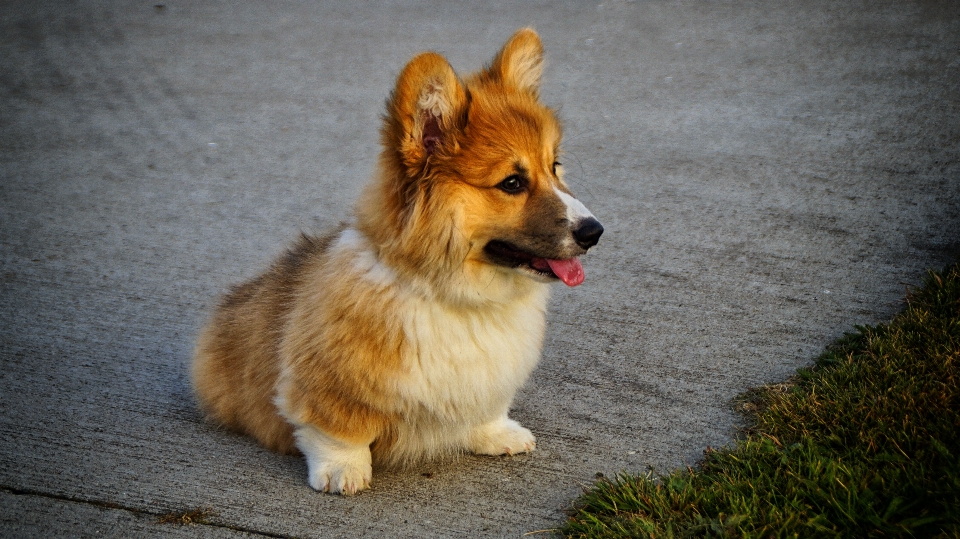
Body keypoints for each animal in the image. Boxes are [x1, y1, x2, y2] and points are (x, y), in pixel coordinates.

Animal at [191, 28, 604, 494]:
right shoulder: (330, 382)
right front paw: (343, 469)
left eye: (555, 166)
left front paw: (496, 433)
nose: (594, 232)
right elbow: (337, 430)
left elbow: (485, 407)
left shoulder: (489, 379)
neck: (458, 297)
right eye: (513, 183)